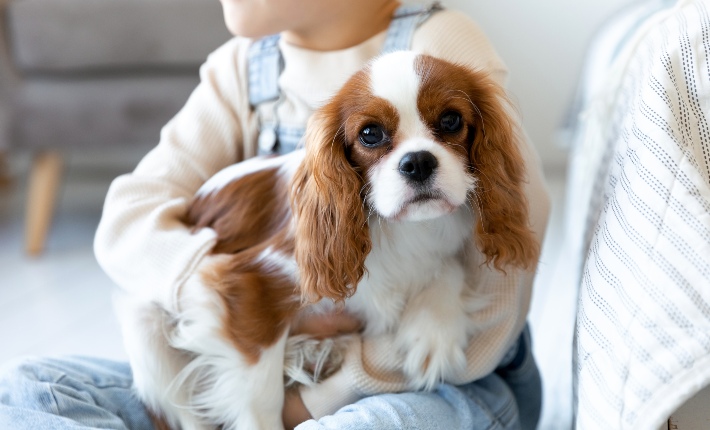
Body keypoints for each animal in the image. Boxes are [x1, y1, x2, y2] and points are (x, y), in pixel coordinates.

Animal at [118, 51, 540, 430]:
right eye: (370, 134)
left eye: (451, 120)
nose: (418, 161)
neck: (399, 229)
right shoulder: (247, 281)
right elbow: (260, 395)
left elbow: (448, 267)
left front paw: (433, 331)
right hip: (143, 323)